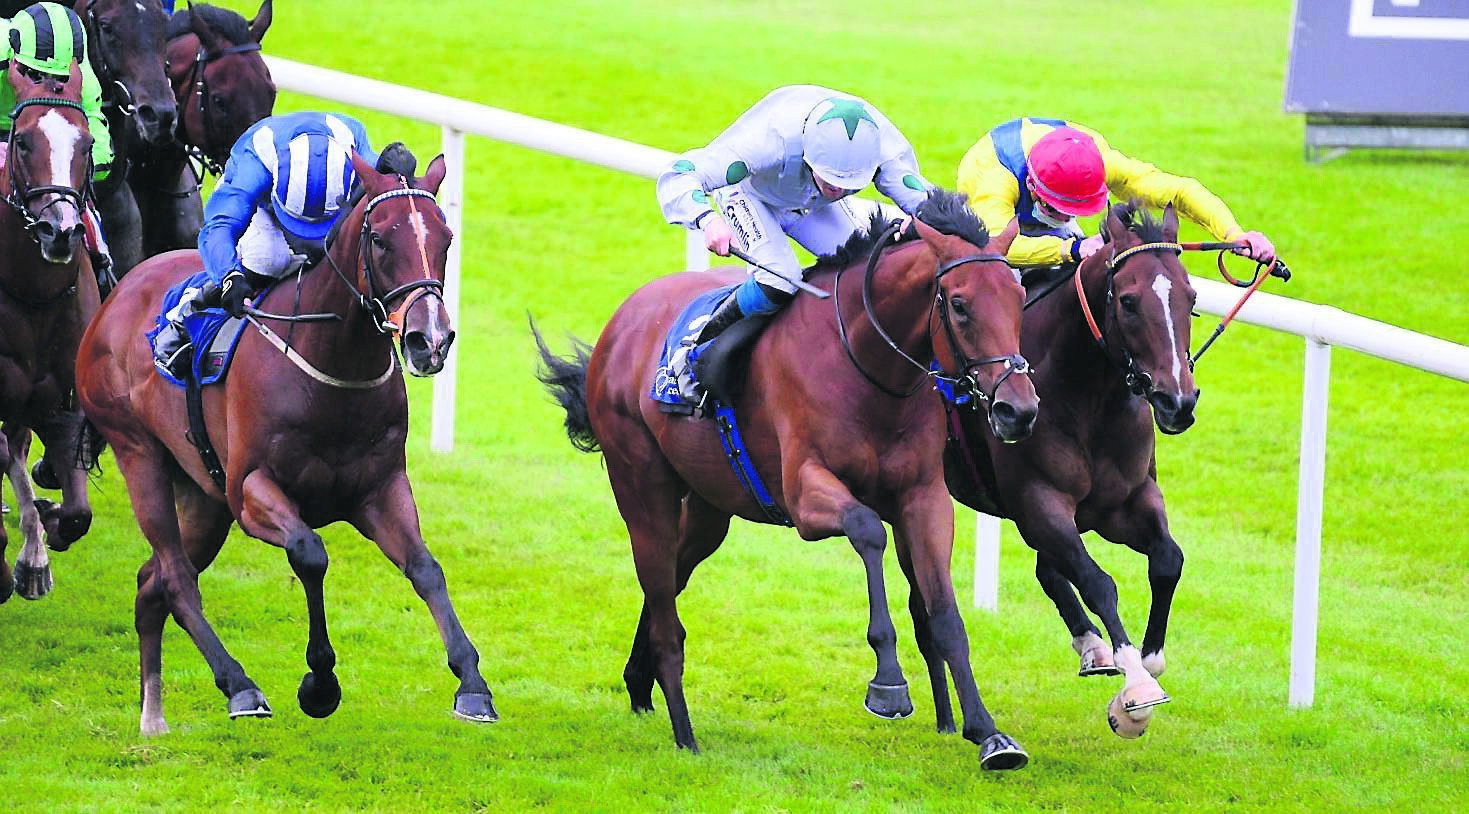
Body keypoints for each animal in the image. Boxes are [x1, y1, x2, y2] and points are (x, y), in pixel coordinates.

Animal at [74, 149, 494, 735]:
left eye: (446, 237)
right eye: (381, 239)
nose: (428, 339)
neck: (332, 368)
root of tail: (118, 293)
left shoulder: (380, 488)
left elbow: (426, 568)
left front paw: (472, 683)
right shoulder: (252, 491)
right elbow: (310, 552)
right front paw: (320, 684)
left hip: (203, 496)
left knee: (150, 581)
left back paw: (152, 715)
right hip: (140, 454)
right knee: (176, 578)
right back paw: (239, 685)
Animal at [535, 190, 1041, 769]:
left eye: (1017, 295)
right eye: (958, 304)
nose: (1018, 410)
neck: (867, 369)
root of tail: (620, 323)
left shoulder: (923, 496)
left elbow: (945, 615)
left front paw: (989, 733)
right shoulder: (804, 496)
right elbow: (867, 530)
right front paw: (888, 683)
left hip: (709, 509)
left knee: (669, 581)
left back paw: (640, 681)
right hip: (642, 493)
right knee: (665, 613)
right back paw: (685, 734)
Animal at [940, 202, 1196, 738]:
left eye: (1192, 298)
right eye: (1128, 301)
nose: (1177, 402)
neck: (1088, 395)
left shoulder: (1126, 500)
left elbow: (1168, 559)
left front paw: (1150, 658)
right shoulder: (1040, 500)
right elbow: (1098, 581)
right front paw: (1135, 688)